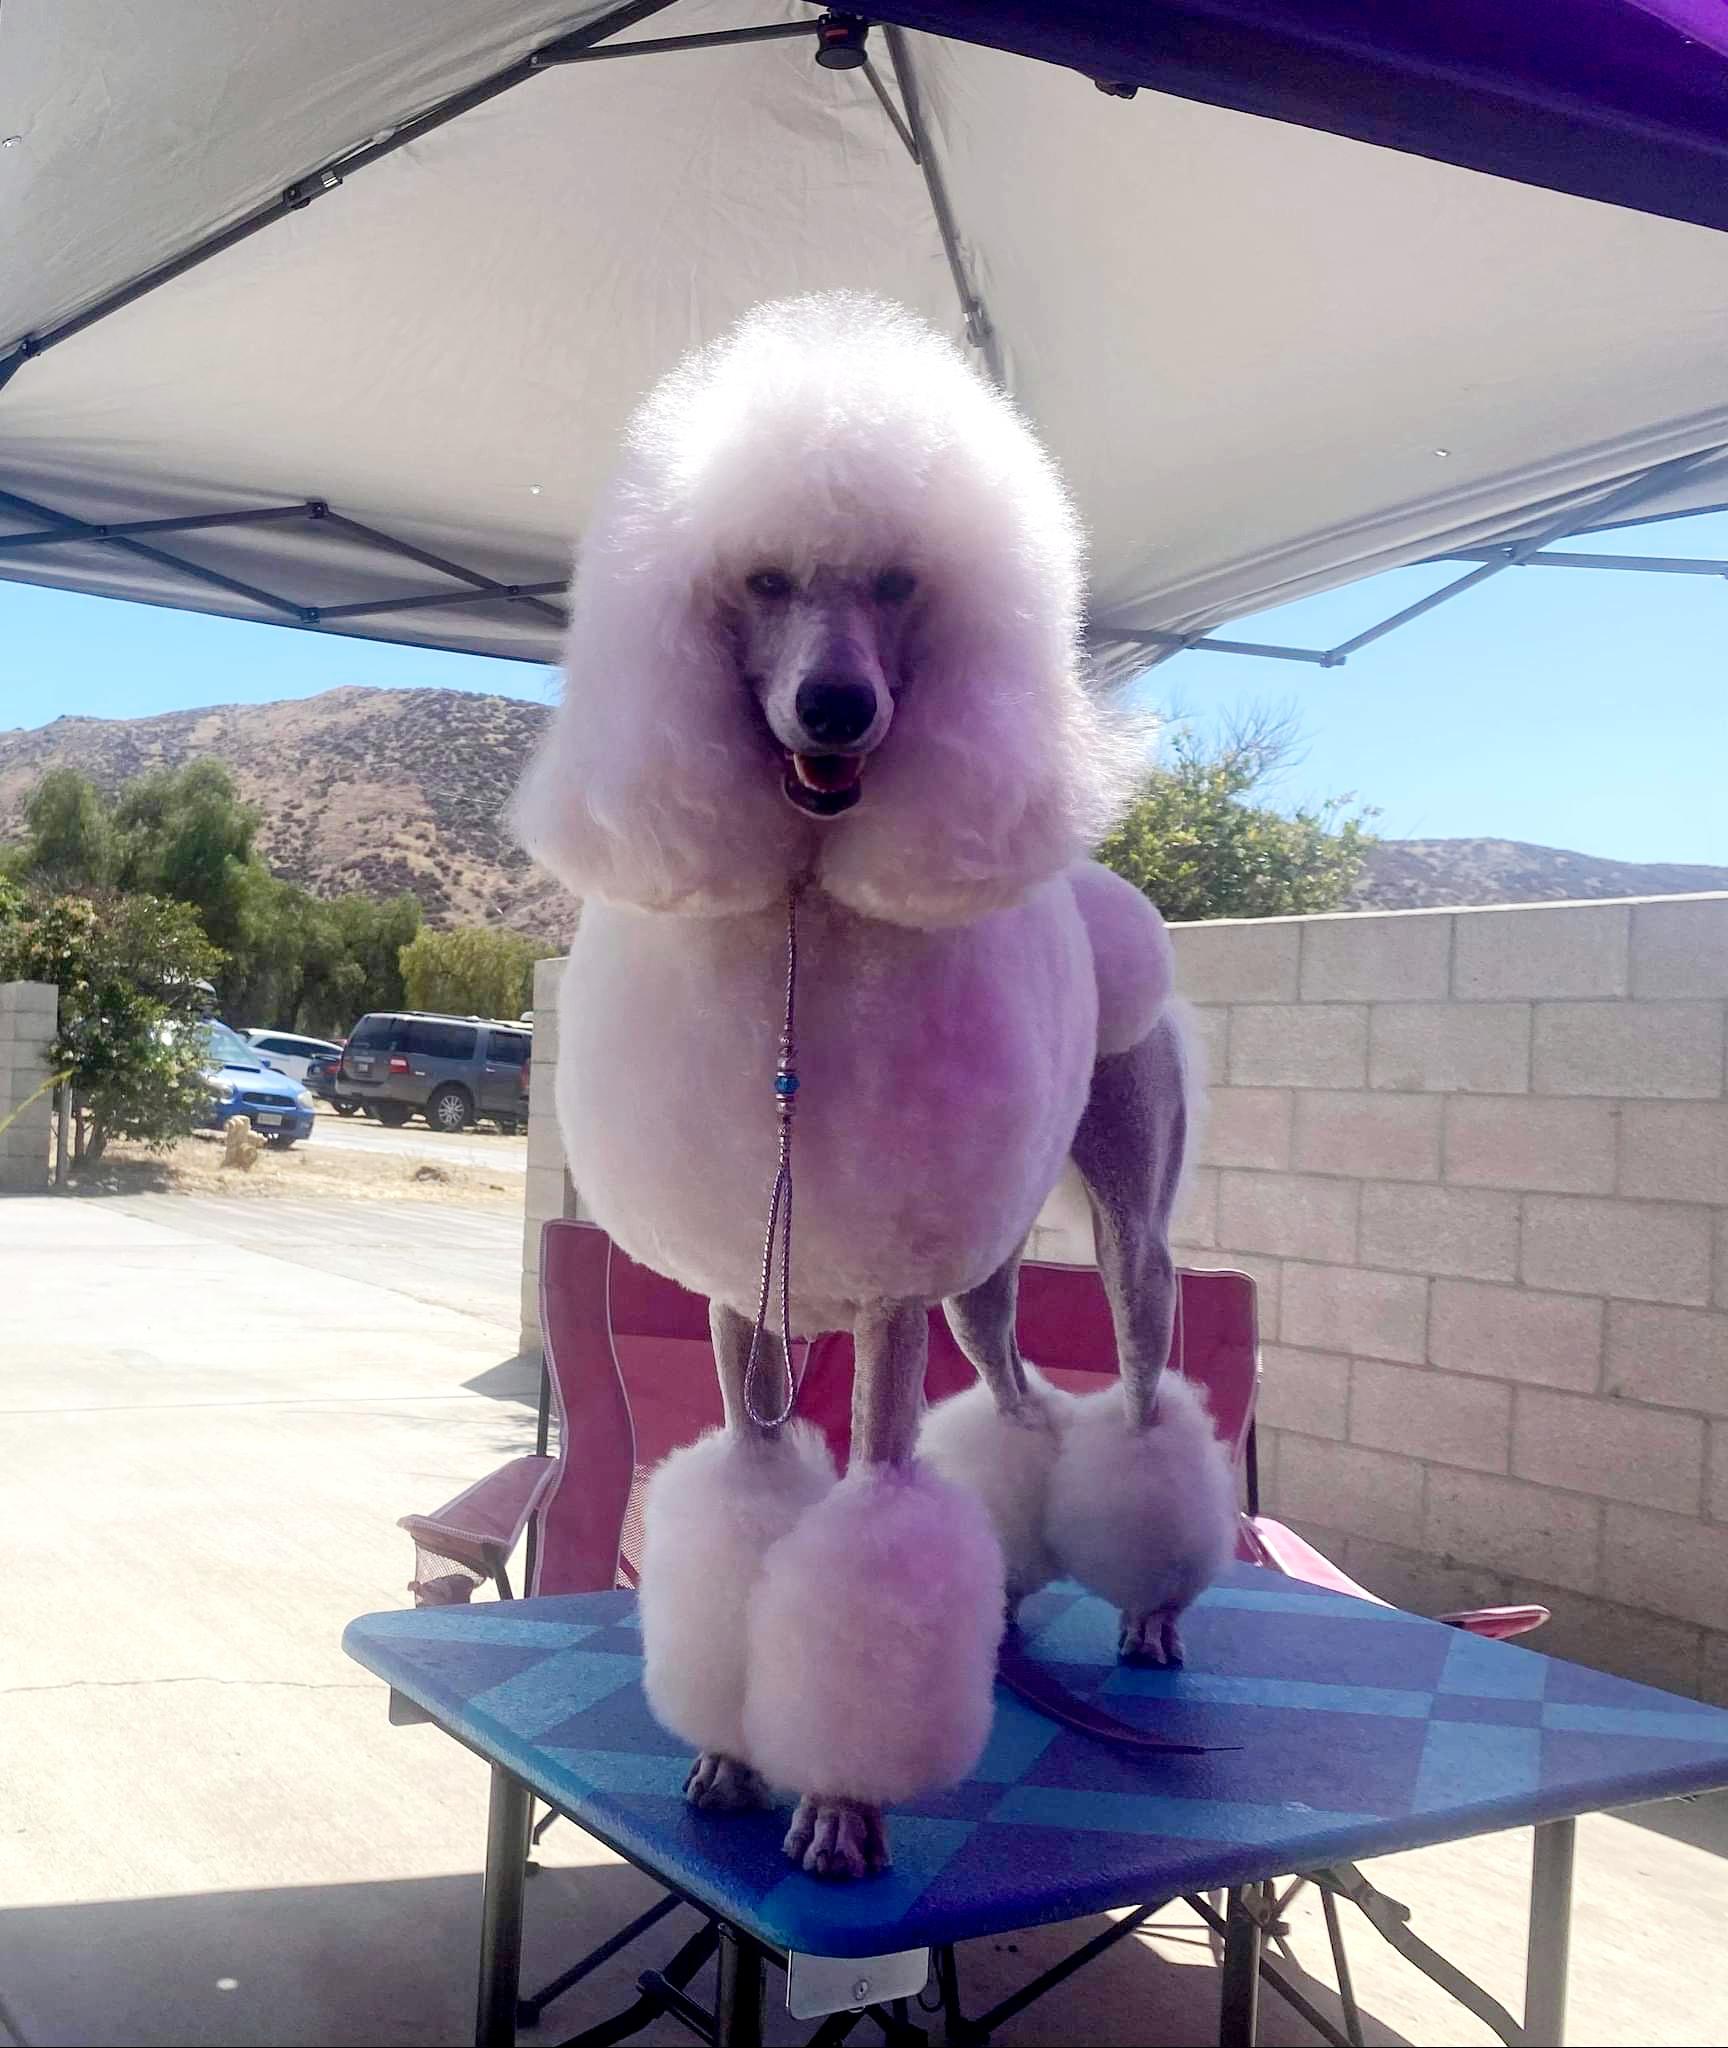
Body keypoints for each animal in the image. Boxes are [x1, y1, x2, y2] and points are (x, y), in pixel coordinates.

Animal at [514, 293, 1234, 1879]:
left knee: (1141, 1393)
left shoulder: (893, 1297)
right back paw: (1013, 1600)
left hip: (1125, 1224)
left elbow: (871, 1537)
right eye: (764, 578)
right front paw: (730, 1756)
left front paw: (841, 1803)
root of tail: (1103, 894)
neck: (801, 917)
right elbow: (746, 1500)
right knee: (1021, 1409)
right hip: (987, 1273)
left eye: (901, 581)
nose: (835, 709)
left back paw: (1154, 1607)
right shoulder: (747, 1291)